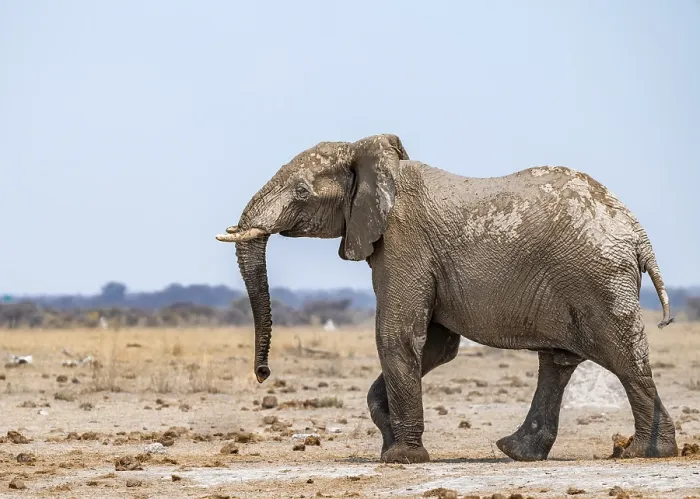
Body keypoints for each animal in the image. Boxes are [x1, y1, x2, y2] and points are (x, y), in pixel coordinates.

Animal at [216, 133, 677, 464]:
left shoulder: (403, 242)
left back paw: (644, 453)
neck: (371, 157)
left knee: (623, 357)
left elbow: (397, 336)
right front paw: (390, 446)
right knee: (559, 362)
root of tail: (638, 235)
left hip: (597, 278)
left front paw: (402, 458)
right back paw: (518, 452)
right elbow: (436, 346)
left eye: (301, 192)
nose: (263, 373)